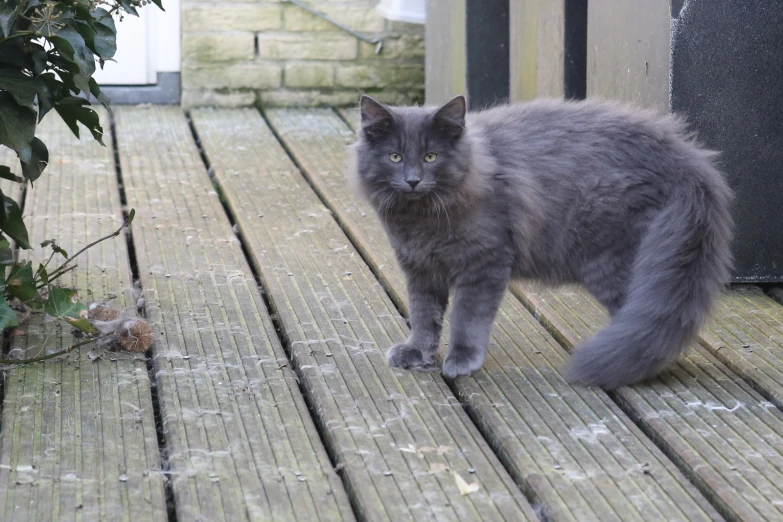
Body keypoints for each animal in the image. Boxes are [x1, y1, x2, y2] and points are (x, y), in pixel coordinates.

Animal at [350, 93, 736, 388]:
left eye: (431, 156)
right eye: (395, 157)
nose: (413, 180)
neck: (421, 219)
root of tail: (684, 158)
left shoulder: (485, 264)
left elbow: (466, 318)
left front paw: (462, 358)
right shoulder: (420, 269)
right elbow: (424, 316)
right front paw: (417, 352)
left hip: (617, 261)